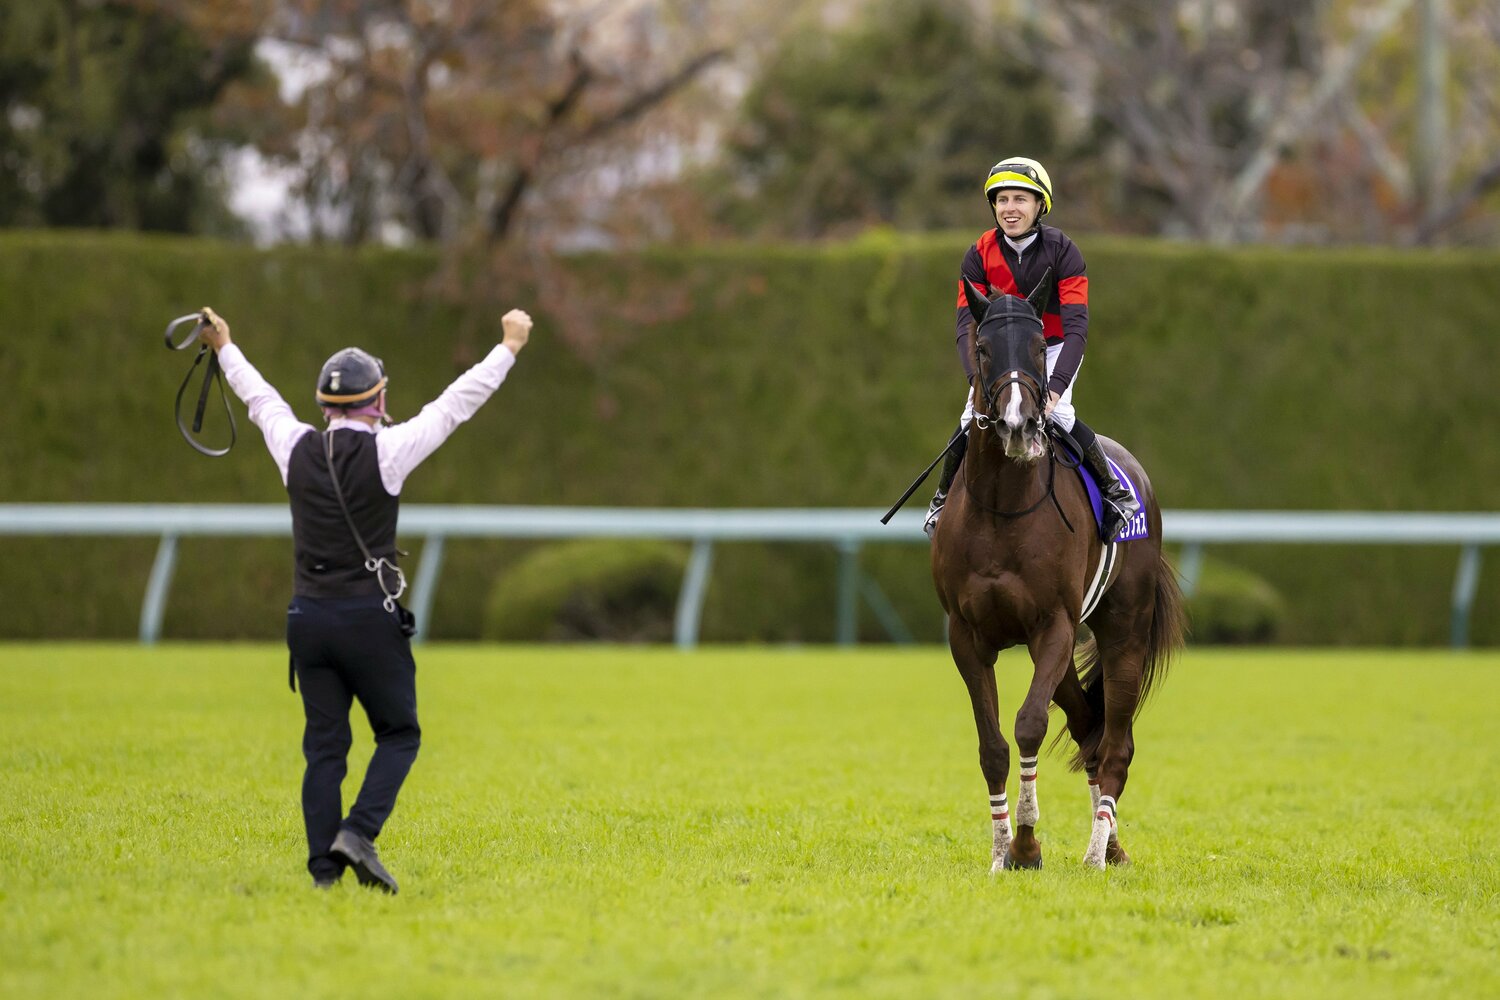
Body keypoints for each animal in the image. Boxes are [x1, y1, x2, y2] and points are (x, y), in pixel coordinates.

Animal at [930, 277, 1186, 871]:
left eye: (1034, 349)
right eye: (983, 348)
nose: (1018, 425)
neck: (1002, 507)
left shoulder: (1053, 625)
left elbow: (1029, 723)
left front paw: (1026, 844)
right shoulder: (967, 635)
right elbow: (993, 745)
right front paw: (1002, 850)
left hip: (1123, 633)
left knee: (1116, 742)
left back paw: (1097, 852)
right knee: (1089, 727)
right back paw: (1109, 842)